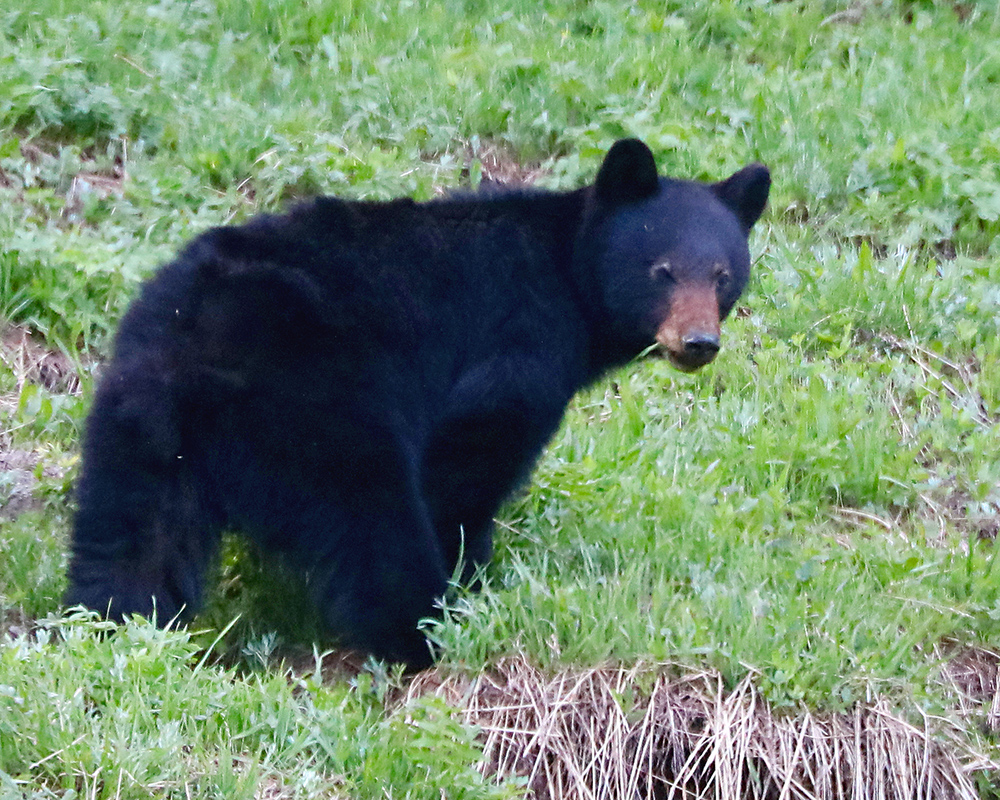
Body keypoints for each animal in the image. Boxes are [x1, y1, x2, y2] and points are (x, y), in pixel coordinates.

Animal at [66, 141, 768, 664]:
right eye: (662, 270)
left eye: (723, 275)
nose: (698, 342)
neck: (569, 276)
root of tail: (205, 339)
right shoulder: (520, 341)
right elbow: (472, 456)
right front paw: (473, 574)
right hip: (325, 412)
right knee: (374, 524)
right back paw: (421, 632)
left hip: (139, 417)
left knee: (132, 537)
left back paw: (115, 625)